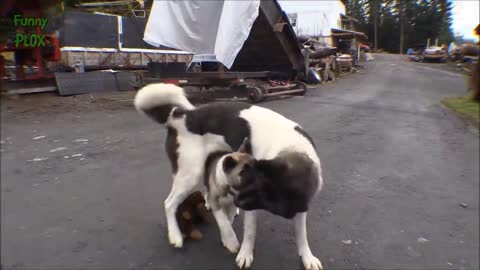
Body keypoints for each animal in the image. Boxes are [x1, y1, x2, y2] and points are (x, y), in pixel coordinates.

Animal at [133, 83, 324, 268]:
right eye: (251, 184)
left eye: (264, 195)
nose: (238, 201)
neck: (293, 148)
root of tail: (181, 115)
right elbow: (250, 232)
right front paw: (244, 254)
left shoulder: (299, 203)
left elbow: (302, 233)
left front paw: (307, 257)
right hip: (190, 173)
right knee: (169, 203)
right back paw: (175, 235)